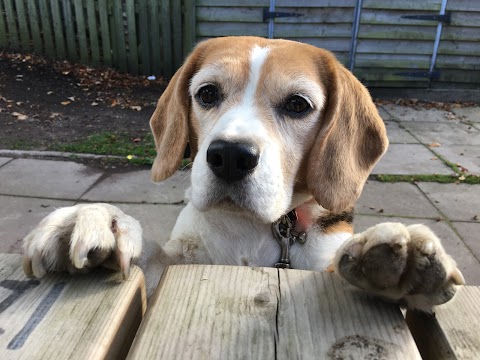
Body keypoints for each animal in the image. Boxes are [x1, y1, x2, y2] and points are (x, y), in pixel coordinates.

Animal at [23, 37, 464, 312]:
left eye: (298, 105)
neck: (256, 228)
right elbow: (149, 257)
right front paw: (95, 219)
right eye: (207, 94)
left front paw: (399, 256)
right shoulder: (175, 264)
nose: (231, 156)